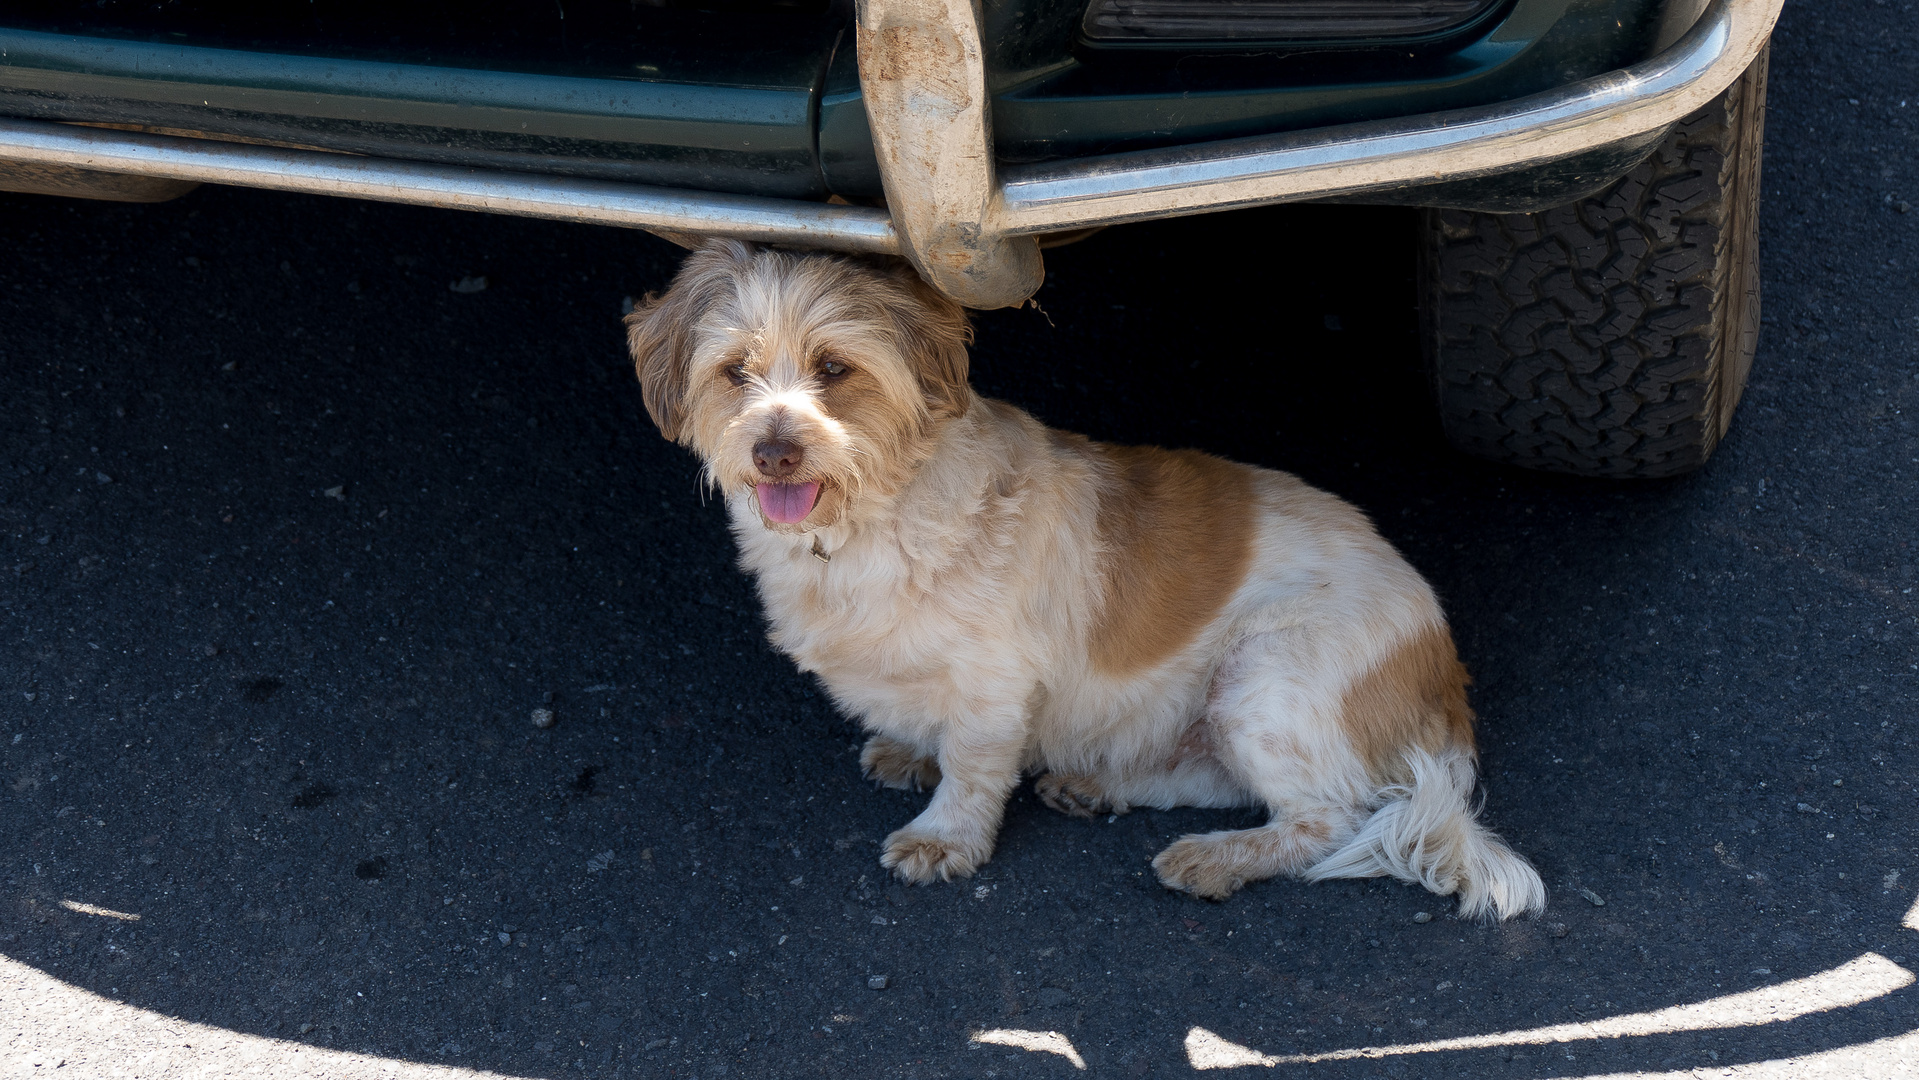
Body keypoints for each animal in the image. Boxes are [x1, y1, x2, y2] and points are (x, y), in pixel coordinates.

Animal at [629, 242, 1542, 920]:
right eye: (735, 372)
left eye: (833, 369)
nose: (774, 448)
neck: (869, 519)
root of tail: (1442, 666)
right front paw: (909, 749)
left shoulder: (993, 682)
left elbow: (972, 763)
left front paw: (944, 836)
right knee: (1213, 778)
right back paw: (1094, 784)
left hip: (1265, 676)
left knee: (1324, 815)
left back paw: (1216, 859)